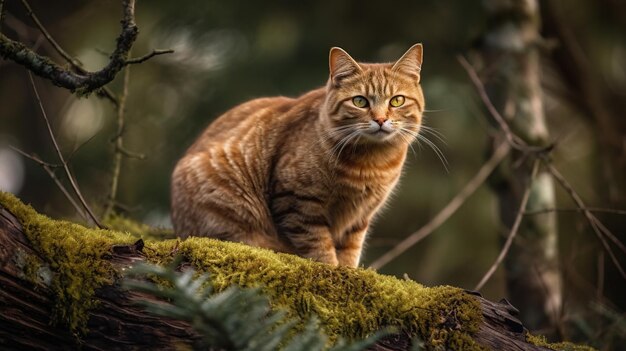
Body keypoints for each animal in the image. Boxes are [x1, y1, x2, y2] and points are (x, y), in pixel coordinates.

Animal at [171, 44, 424, 270]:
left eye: (397, 100)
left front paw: (349, 271)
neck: (372, 163)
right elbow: (317, 243)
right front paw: (331, 268)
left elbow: (350, 248)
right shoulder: (297, 201)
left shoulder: (360, 217)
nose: (380, 120)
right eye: (360, 101)